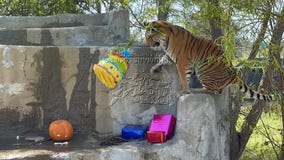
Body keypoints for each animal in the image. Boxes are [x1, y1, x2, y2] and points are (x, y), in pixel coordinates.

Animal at [145, 20, 274, 100]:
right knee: (217, 91)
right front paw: (154, 68)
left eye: (149, 36)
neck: (166, 40)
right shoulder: (170, 56)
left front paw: (184, 91)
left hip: (203, 67)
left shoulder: (182, 62)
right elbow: (162, 59)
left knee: (211, 91)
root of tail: (234, 75)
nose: (147, 45)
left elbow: (184, 78)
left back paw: (195, 90)